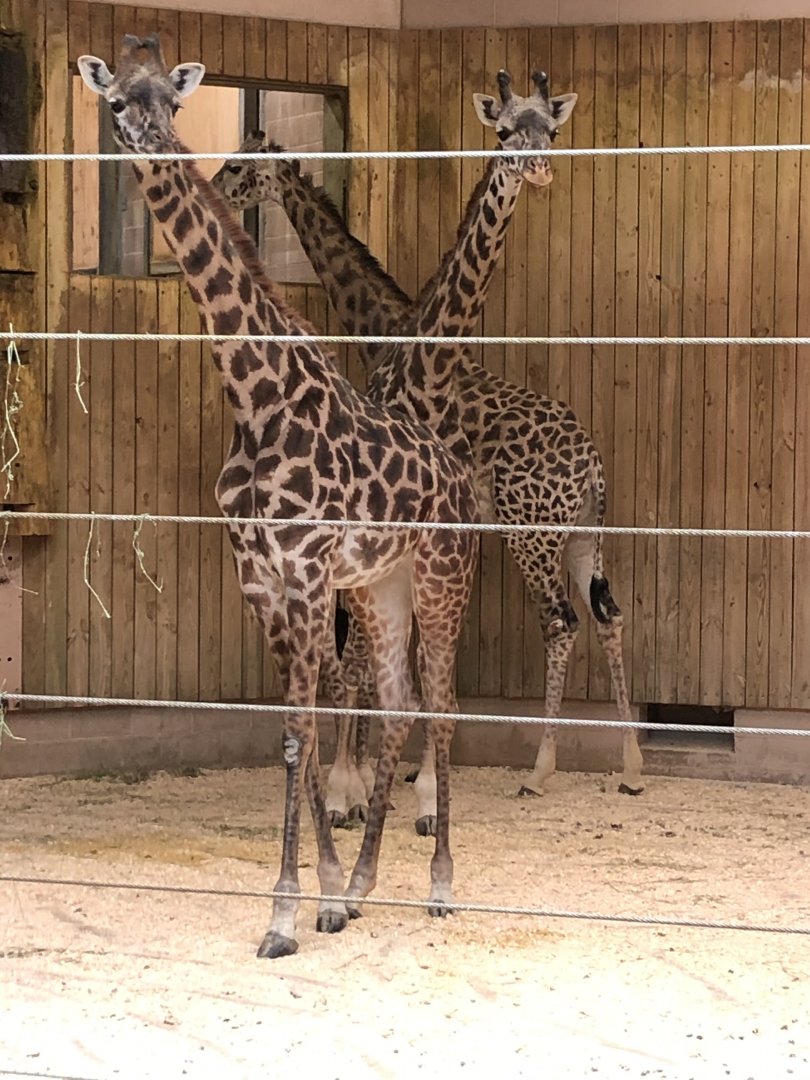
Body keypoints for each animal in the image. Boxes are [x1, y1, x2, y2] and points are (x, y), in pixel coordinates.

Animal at [77, 34, 480, 959]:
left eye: (172, 101)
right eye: (118, 102)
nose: (153, 142)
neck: (253, 397)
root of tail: (462, 479)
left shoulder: (303, 574)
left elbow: (307, 724)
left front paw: (290, 911)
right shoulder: (259, 579)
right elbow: (291, 733)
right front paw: (325, 894)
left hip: (441, 581)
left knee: (441, 709)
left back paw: (441, 887)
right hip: (381, 587)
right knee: (398, 702)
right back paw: (367, 888)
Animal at [212, 69, 645, 801]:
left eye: (239, 166)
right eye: (508, 129)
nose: (215, 186)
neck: (393, 334)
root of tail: (590, 463)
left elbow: (374, 647)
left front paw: (361, 779)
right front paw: (394, 771)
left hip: (532, 531)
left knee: (560, 620)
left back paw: (538, 770)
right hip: (587, 530)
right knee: (608, 613)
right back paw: (634, 766)